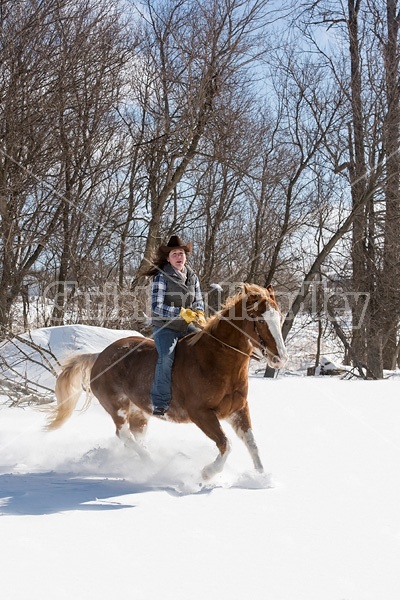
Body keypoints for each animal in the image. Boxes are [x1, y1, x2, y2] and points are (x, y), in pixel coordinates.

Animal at [47, 284, 288, 480]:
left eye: (279, 317)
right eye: (259, 319)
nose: (280, 358)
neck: (216, 362)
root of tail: (98, 356)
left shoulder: (238, 410)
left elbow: (252, 444)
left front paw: (261, 478)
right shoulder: (201, 413)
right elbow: (226, 445)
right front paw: (206, 474)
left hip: (139, 412)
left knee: (134, 436)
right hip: (117, 406)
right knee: (123, 434)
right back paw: (152, 464)